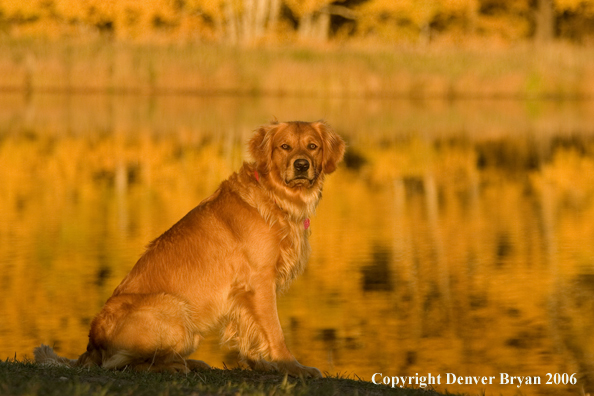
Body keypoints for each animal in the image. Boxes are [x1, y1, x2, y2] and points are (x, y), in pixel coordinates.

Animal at [33, 120, 342, 378]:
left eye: (312, 146)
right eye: (284, 146)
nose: (301, 165)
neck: (277, 198)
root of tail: (92, 344)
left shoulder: (245, 294)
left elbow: (250, 333)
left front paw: (263, 366)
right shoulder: (260, 282)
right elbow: (275, 331)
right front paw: (293, 367)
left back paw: (190, 363)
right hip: (175, 310)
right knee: (124, 364)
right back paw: (177, 366)